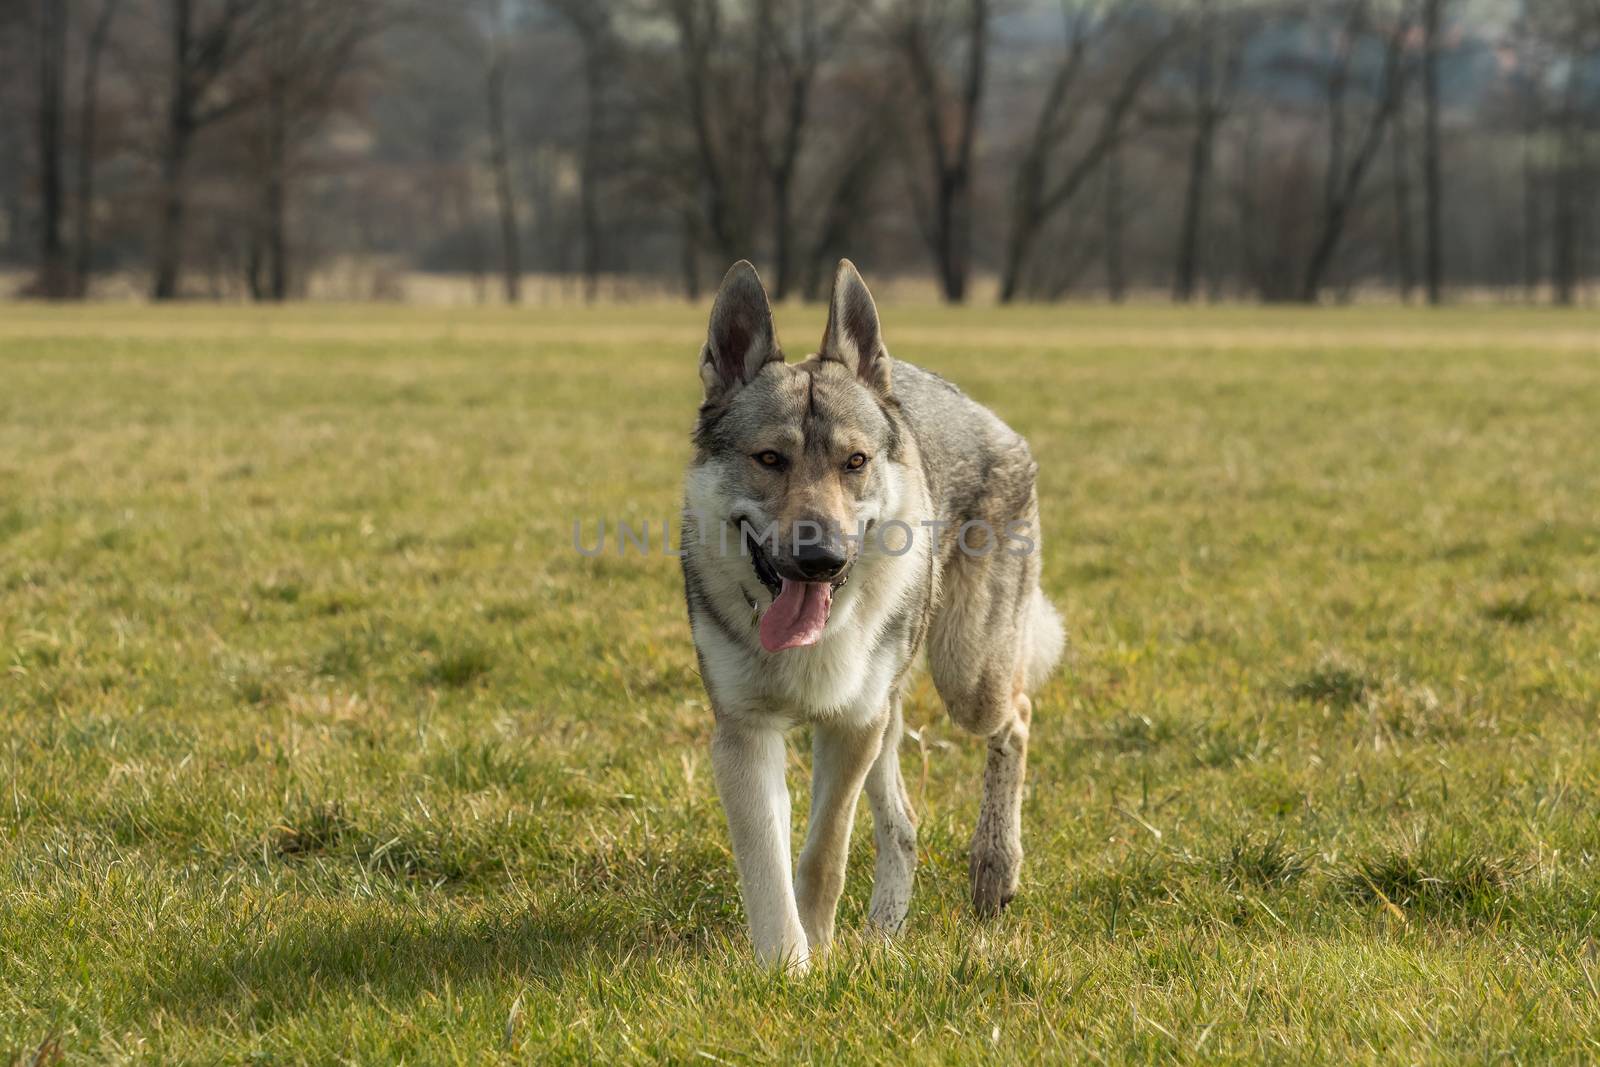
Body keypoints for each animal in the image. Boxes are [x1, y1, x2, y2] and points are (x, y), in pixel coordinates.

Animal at [678, 255, 1062, 966]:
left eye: (853, 462)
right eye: (769, 459)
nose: (821, 558)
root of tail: (986, 414)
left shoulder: (851, 726)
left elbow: (821, 860)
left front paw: (818, 956)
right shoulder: (745, 734)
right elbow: (767, 866)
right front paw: (786, 967)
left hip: (965, 681)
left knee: (1018, 717)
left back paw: (995, 869)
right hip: (891, 716)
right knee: (905, 826)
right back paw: (884, 929)